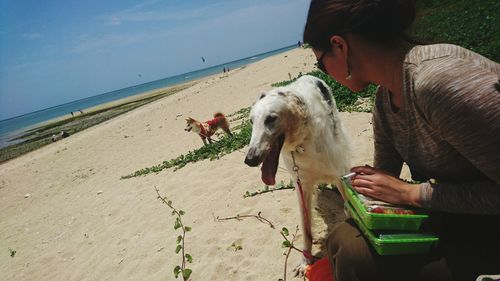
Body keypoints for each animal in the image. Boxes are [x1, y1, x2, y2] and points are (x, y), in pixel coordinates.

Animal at [244, 74, 350, 274]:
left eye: (271, 119)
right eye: (252, 121)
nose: (250, 160)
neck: (302, 141)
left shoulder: (338, 173)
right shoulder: (302, 183)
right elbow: (306, 227)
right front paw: (305, 261)